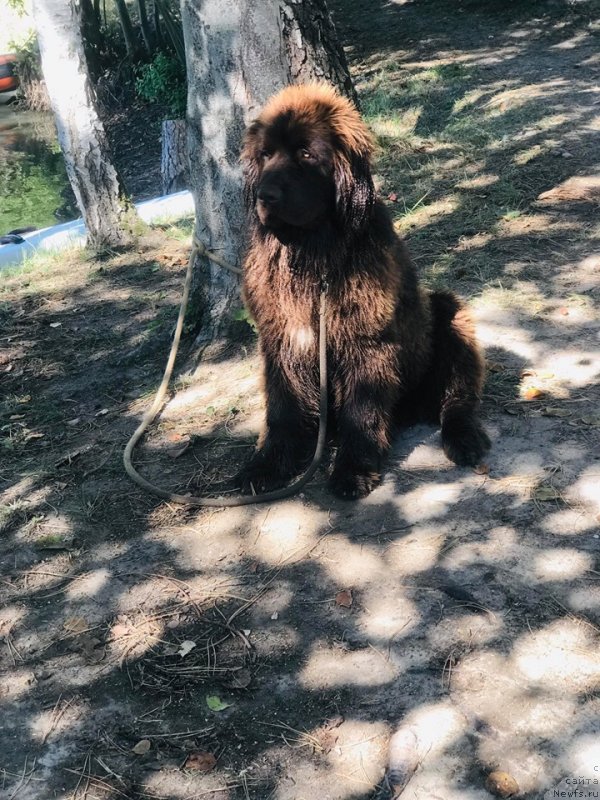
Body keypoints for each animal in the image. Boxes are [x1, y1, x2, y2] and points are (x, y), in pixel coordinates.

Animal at [237, 87, 490, 500]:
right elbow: (282, 409)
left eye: (306, 154)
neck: (315, 257)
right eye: (266, 155)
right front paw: (267, 465)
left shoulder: (366, 343)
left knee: (457, 401)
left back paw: (464, 438)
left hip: (449, 313)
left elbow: (362, 411)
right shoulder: (282, 342)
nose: (265, 195)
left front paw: (353, 469)